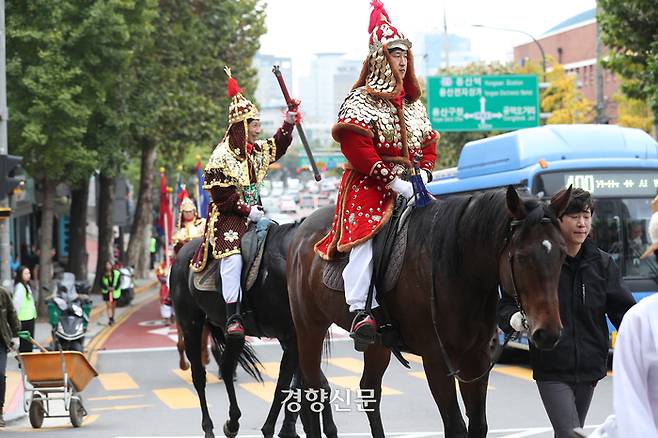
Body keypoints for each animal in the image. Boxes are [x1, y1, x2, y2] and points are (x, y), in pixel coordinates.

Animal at [288, 186, 568, 436]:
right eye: (521, 257)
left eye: (563, 254)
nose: (548, 333)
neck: (457, 267)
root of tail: (302, 227)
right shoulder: (436, 360)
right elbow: (456, 427)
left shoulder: (475, 357)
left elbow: (478, 425)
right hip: (309, 327)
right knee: (312, 386)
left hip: (378, 343)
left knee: (369, 390)